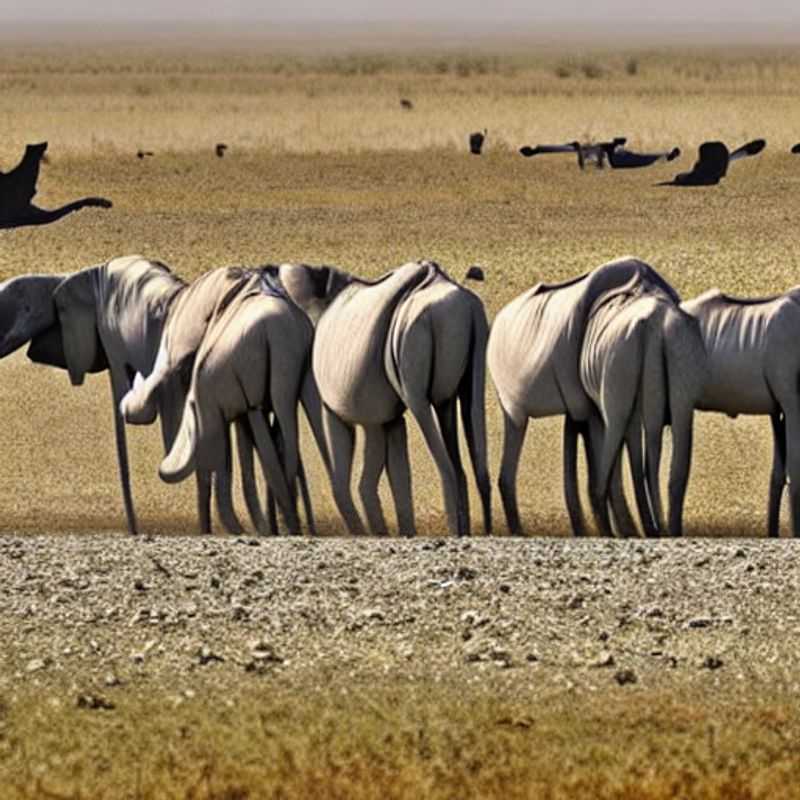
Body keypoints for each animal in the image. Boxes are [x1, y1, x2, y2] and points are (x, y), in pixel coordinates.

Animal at [159, 272, 321, 535]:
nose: (205, 530)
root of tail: (274, 329)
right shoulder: (241, 403)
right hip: (297, 371)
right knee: (292, 430)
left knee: (276, 441)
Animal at [274, 260, 491, 537]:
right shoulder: (386, 416)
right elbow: (398, 472)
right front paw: (403, 532)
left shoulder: (343, 408)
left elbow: (354, 480)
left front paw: (372, 533)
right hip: (474, 339)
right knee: (466, 423)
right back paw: (482, 531)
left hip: (409, 340)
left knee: (433, 434)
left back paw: (456, 532)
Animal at [578, 278, 706, 537]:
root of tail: (654, 324)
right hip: (679, 368)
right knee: (675, 462)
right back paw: (668, 528)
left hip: (620, 371)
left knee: (627, 447)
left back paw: (621, 526)